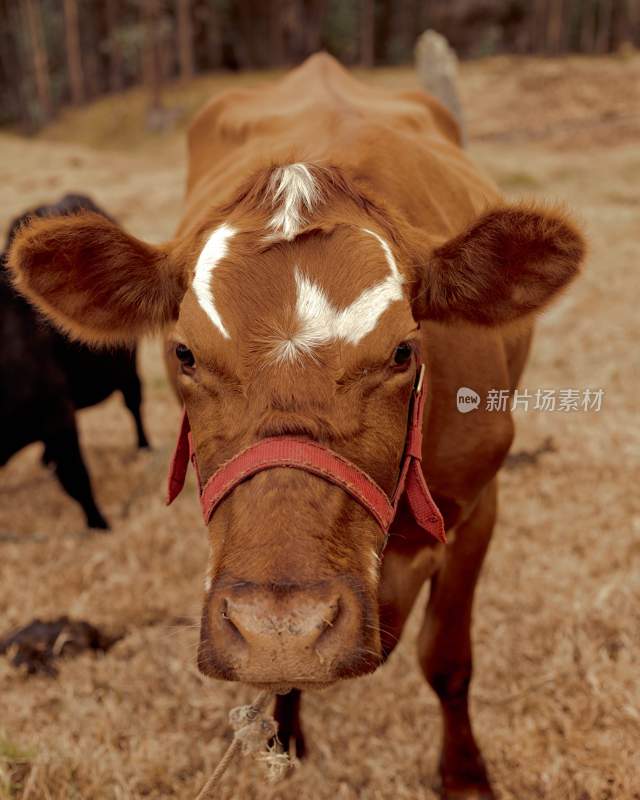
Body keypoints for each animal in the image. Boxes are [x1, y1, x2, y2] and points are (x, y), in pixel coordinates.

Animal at [1, 195, 149, 532]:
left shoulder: (58, 416)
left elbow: (77, 480)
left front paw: (99, 525)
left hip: (126, 368)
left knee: (134, 402)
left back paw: (144, 447)